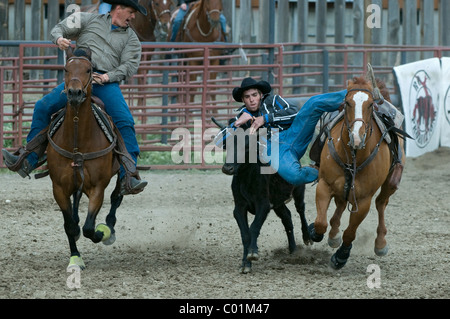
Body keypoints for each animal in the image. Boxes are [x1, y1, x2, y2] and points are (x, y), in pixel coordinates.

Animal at [46, 47, 123, 270]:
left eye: (89, 70)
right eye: (66, 69)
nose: (74, 93)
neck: (78, 140)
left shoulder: (97, 187)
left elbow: (90, 227)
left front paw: (102, 232)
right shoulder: (58, 188)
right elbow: (69, 225)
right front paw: (75, 257)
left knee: (117, 195)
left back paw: (109, 228)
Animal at [214, 120, 310, 276]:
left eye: (247, 146)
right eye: (227, 144)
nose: (228, 168)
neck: (246, 177)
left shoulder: (263, 205)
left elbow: (254, 228)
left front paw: (253, 253)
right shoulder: (239, 208)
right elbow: (245, 234)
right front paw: (245, 263)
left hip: (299, 189)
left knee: (301, 209)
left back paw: (307, 236)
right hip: (278, 203)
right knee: (287, 217)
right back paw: (293, 249)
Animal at [308, 65, 406, 270]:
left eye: (370, 105)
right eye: (346, 103)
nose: (356, 137)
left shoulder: (363, 200)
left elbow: (351, 232)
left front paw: (341, 256)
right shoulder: (324, 185)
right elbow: (320, 222)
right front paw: (314, 231)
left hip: (389, 185)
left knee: (381, 204)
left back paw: (380, 243)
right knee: (339, 206)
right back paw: (333, 234)